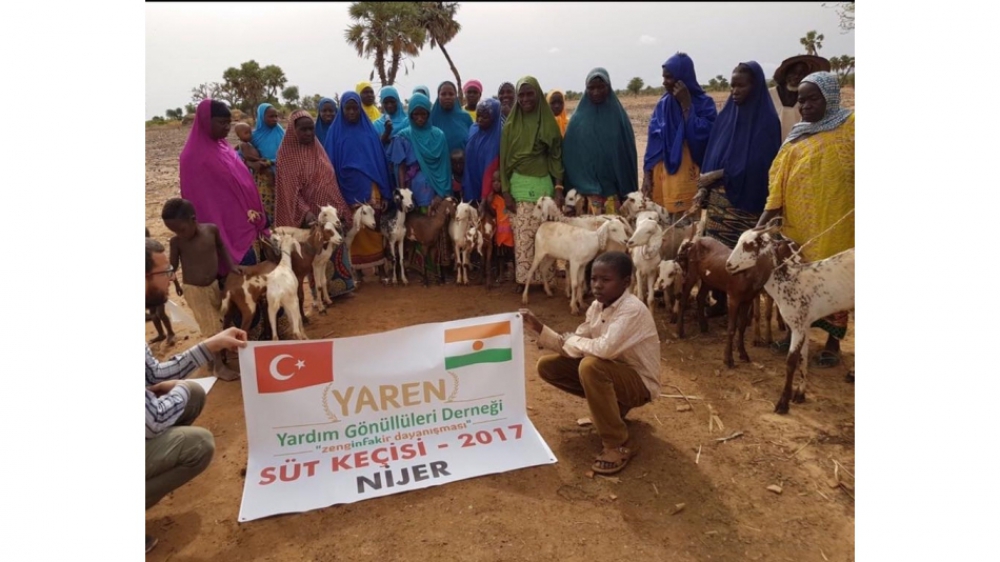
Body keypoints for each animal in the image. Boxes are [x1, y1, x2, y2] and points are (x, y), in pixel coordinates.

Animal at [724, 219, 856, 412]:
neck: (790, 281)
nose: (728, 265)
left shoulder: (798, 325)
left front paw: (783, 403)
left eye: (748, 245)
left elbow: (791, 361)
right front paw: (800, 394)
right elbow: (803, 357)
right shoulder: (805, 324)